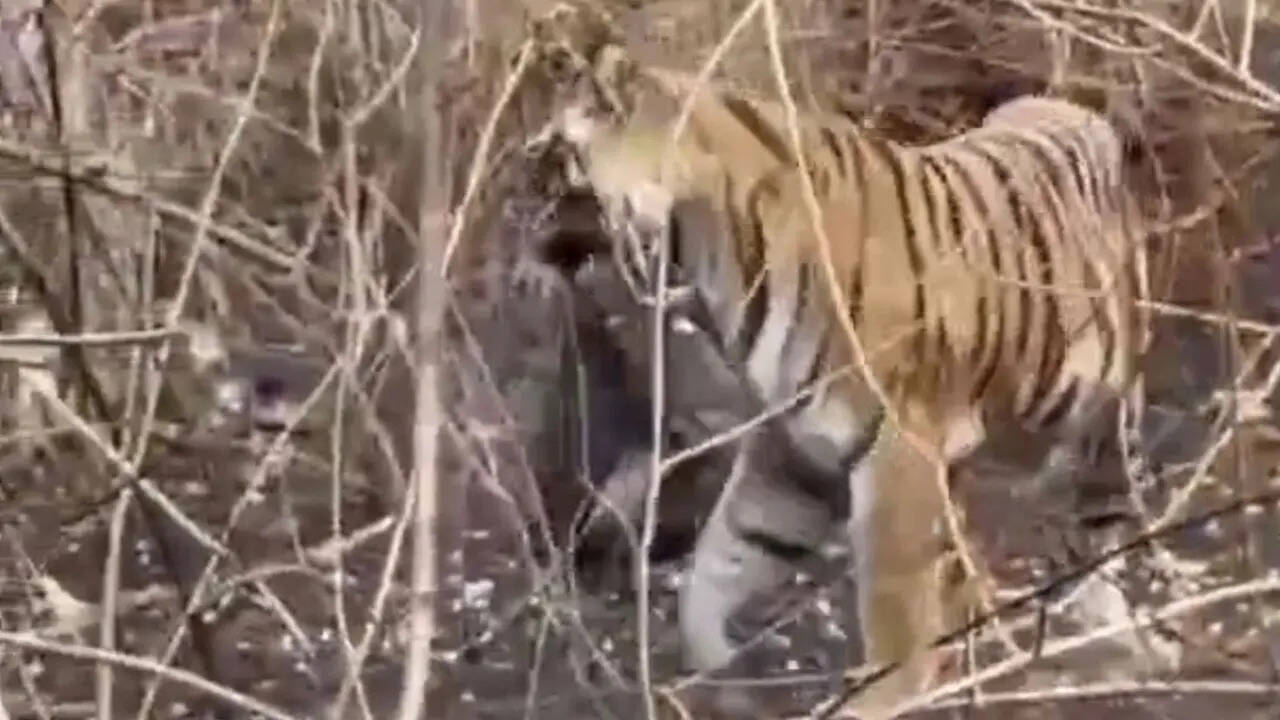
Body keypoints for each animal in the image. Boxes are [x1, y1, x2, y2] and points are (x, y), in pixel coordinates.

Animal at [524, 5, 1153, 717]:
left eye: (547, 165)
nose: (522, 241)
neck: (709, 255)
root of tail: (1072, 107)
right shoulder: (797, 449)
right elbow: (716, 570)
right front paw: (724, 680)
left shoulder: (899, 451)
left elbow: (893, 607)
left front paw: (882, 696)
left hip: (1102, 414)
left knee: (1103, 519)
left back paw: (1116, 634)